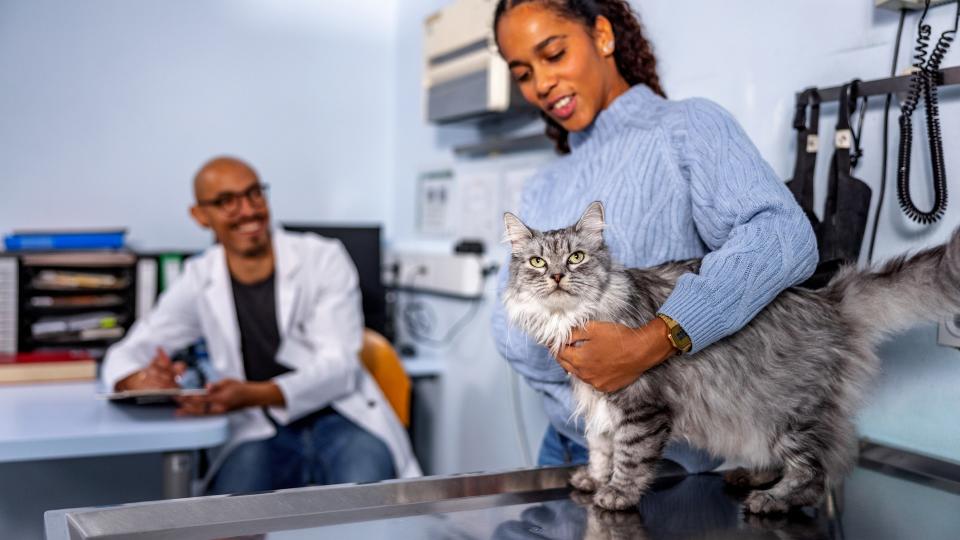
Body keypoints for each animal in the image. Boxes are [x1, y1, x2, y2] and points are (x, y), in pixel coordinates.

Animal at [502, 200, 960, 512]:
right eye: (538, 262)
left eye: (576, 257)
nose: (556, 276)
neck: (570, 320)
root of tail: (829, 299)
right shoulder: (598, 400)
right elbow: (600, 446)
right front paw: (594, 478)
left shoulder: (640, 403)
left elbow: (630, 456)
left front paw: (616, 493)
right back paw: (751, 476)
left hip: (793, 414)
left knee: (816, 473)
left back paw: (773, 500)